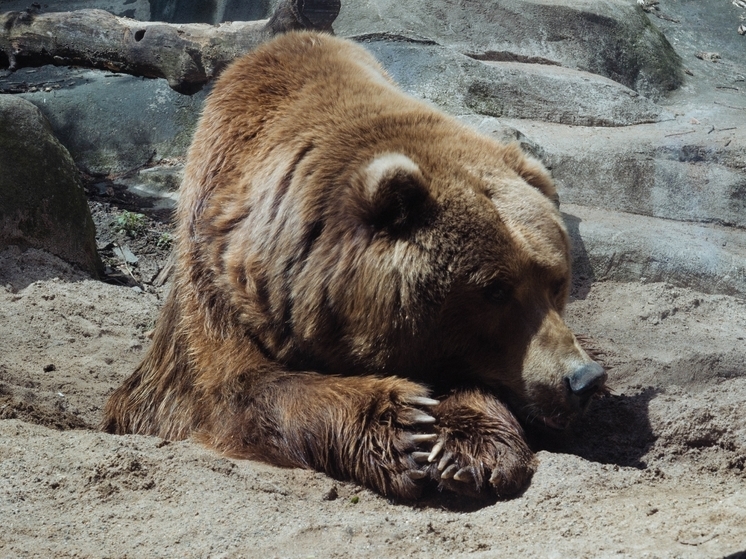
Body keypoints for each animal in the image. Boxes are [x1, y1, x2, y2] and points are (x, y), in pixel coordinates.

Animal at [103, 31, 604, 498]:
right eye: (496, 289)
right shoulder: (217, 285)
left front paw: (466, 448)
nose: (583, 379)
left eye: (556, 281)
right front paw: (405, 425)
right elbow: (235, 390)